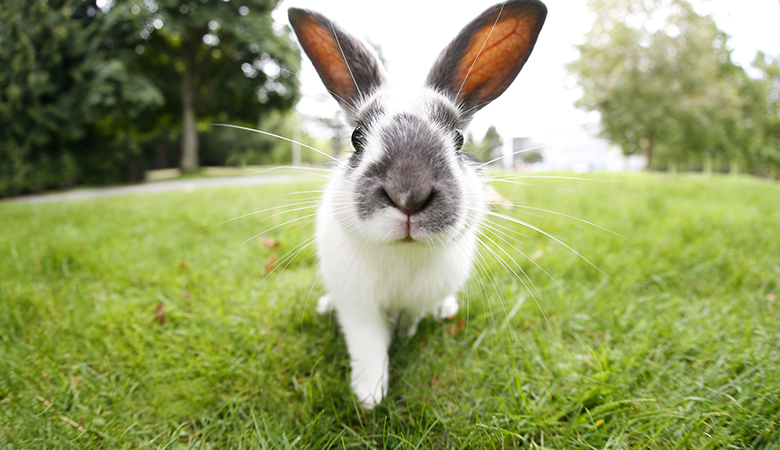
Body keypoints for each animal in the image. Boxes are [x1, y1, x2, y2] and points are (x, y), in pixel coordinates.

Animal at [288, 0, 548, 408]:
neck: (402, 254)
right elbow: (369, 347)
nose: (408, 194)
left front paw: (403, 340)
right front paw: (369, 396)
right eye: (356, 137)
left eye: (459, 139)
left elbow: (409, 322)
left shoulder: (417, 300)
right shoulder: (359, 308)